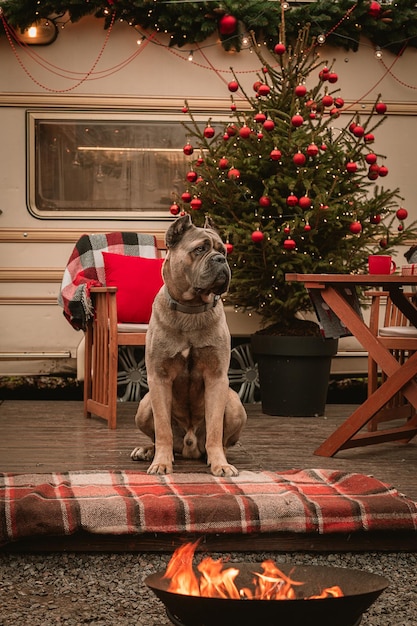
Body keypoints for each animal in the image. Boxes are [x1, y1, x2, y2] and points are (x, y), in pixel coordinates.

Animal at [131, 212, 247, 476]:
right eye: (200, 249)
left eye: (223, 251)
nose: (220, 260)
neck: (191, 308)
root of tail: (189, 446)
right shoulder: (159, 377)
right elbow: (162, 429)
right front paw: (161, 463)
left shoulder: (216, 377)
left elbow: (215, 429)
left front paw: (220, 464)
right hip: (144, 406)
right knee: (157, 436)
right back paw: (148, 451)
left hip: (235, 404)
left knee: (222, 440)